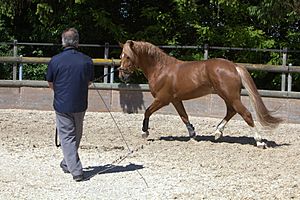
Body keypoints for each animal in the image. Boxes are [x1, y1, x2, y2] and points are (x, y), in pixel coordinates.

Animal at [118, 39, 282, 148]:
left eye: (128, 56)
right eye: (121, 56)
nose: (122, 75)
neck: (161, 69)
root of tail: (234, 66)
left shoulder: (162, 99)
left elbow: (147, 111)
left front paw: (144, 132)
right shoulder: (176, 100)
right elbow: (184, 117)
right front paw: (192, 134)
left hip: (230, 96)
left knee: (245, 113)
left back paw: (259, 141)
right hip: (227, 96)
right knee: (232, 111)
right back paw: (217, 133)